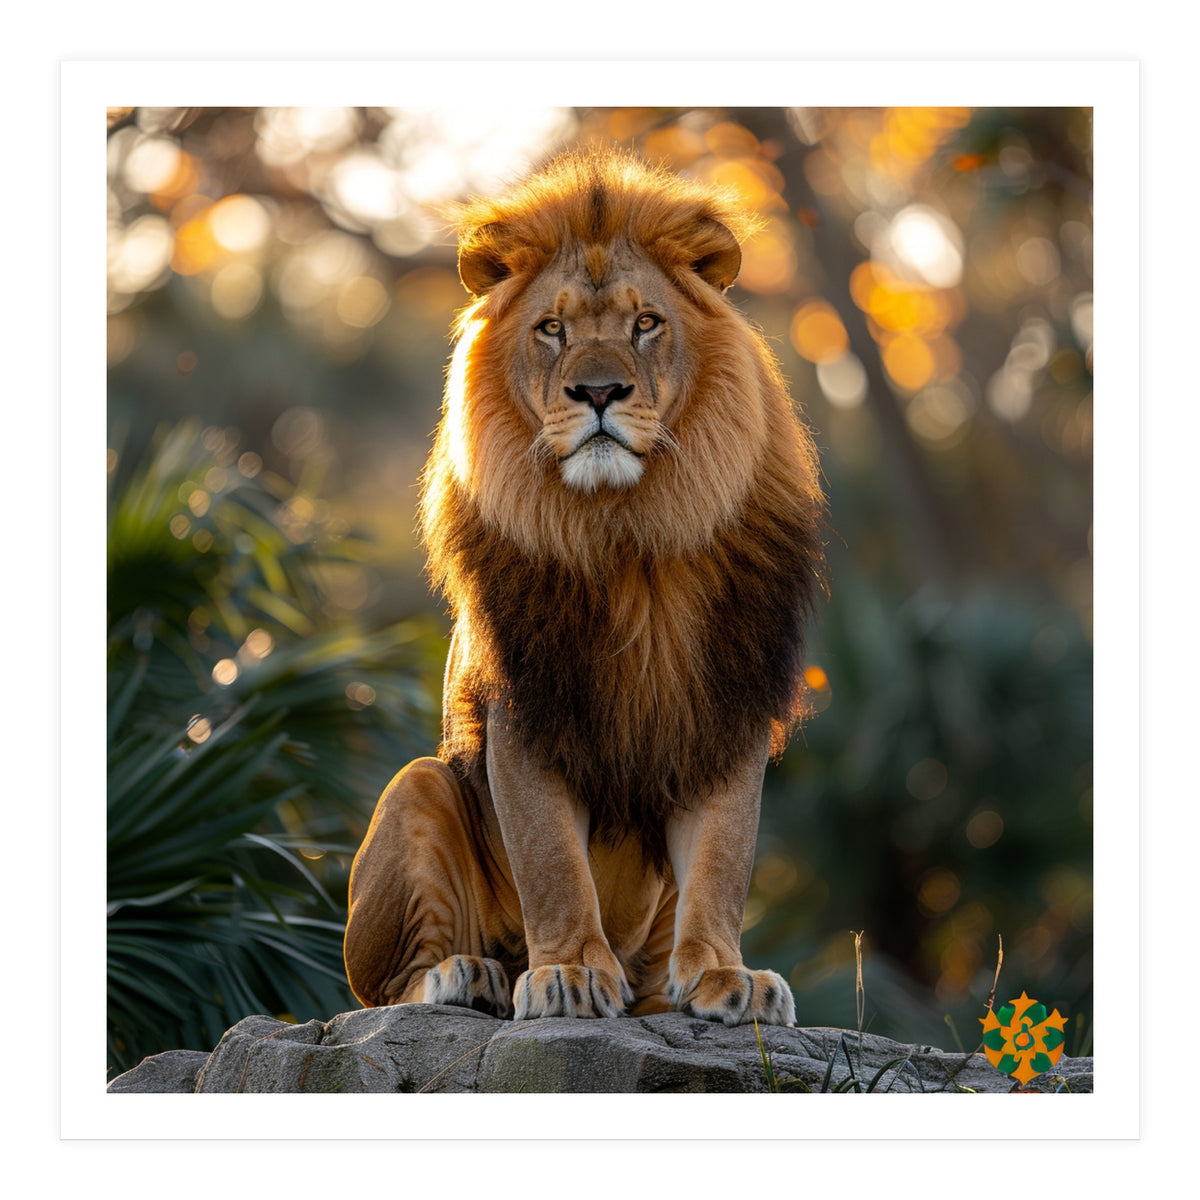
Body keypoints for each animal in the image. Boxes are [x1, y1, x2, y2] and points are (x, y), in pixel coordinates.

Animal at [343, 148, 828, 1026]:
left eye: (646, 324)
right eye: (553, 329)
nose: (598, 393)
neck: (628, 535)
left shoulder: (726, 707)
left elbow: (722, 859)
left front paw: (725, 977)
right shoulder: (525, 708)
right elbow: (553, 863)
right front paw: (566, 971)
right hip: (418, 787)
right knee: (383, 990)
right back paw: (470, 975)